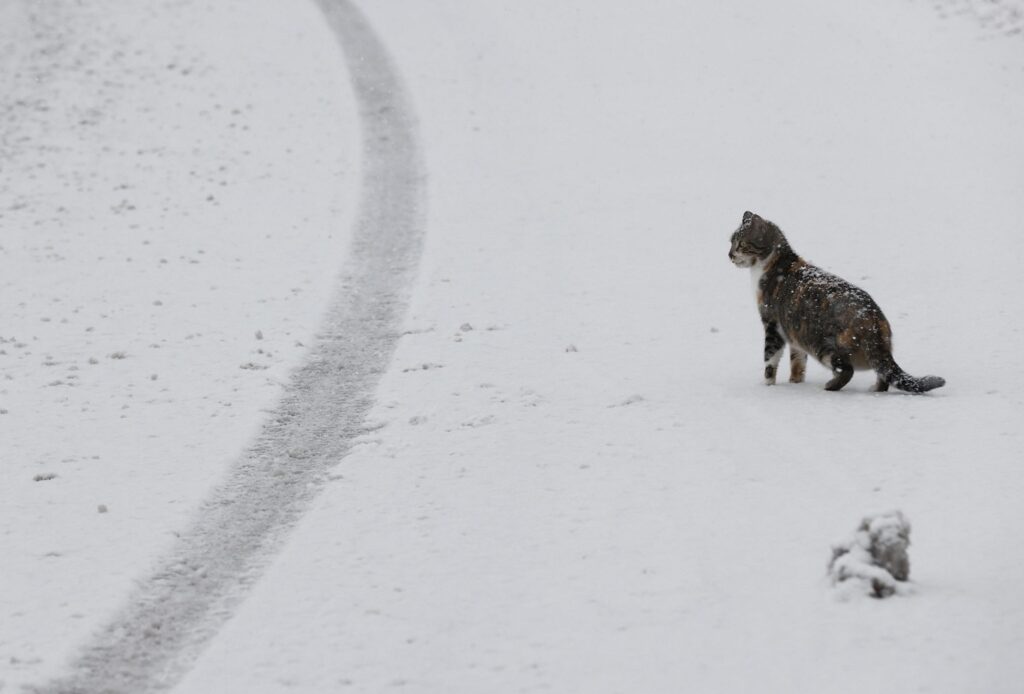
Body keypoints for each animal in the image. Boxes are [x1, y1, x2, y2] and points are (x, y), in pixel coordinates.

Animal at [729, 209, 942, 395]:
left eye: (739, 244)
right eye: (730, 241)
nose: (729, 255)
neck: (773, 263)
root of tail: (873, 320)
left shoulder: (772, 324)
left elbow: (769, 360)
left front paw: (767, 386)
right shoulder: (793, 335)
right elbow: (797, 362)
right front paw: (795, 383)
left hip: (823, 345)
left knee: (847, 371)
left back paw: (829, 386)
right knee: (883, 377)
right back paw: (874, 389)